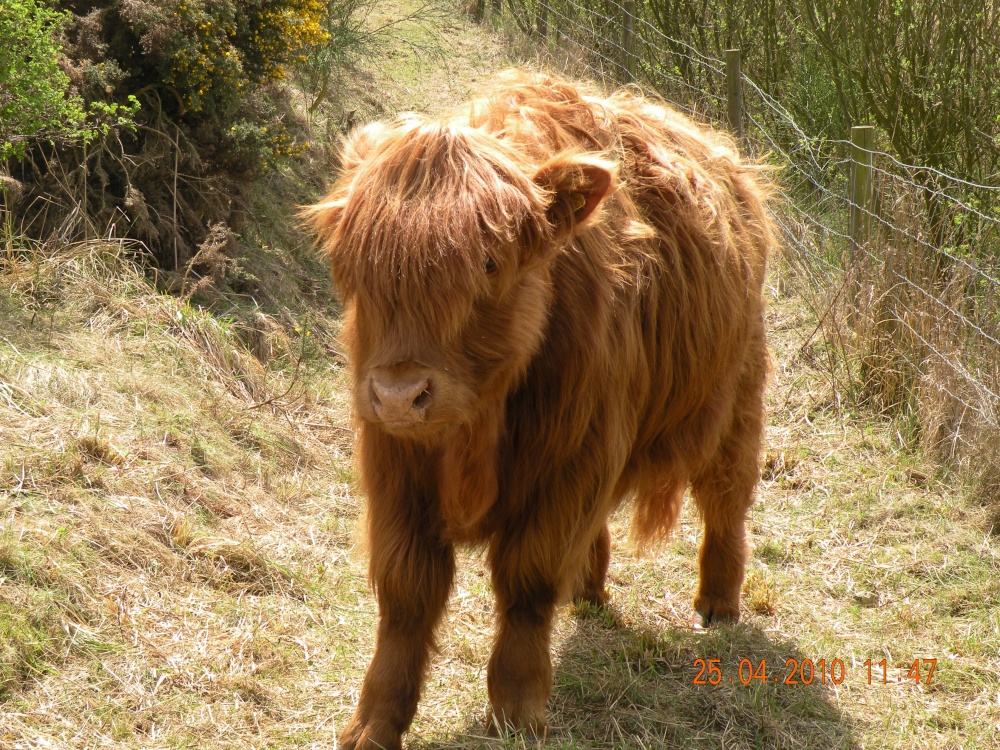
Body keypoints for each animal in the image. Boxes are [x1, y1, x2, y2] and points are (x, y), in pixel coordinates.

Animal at [308, 69, 774, 749]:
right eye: (350, 265)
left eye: (489, 262)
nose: (399, 393)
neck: (475, 432)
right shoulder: (394, 465)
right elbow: (405, 593)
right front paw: (373, 723)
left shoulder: (567, 464)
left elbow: (528, 582)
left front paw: (518, 710)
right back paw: (590, 589)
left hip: (737, 399)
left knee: (726, 499)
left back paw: (718, 603)